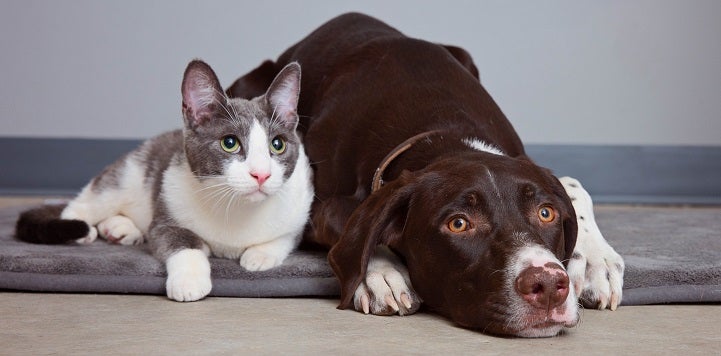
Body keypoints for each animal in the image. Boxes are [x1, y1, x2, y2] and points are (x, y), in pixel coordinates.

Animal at [15, 59, 314, 302]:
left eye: (277, 145)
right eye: (229, 143)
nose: (261, 174)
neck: (236, 208)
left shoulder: (300, 205)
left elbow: (286, 236)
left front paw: (259, 256)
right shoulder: (166, 211)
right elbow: (183, 243)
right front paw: (190, 281)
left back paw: (120, 229)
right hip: (127, 175)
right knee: (83, 204)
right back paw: (84, 228)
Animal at [228, 13, 620, 336]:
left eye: (546, 213)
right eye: (458, 224)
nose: (549, 284)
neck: (446, 134)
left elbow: (574, 186)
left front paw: (595, 261)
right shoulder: (317, 206)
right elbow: (357, 225)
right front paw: (382, 276)